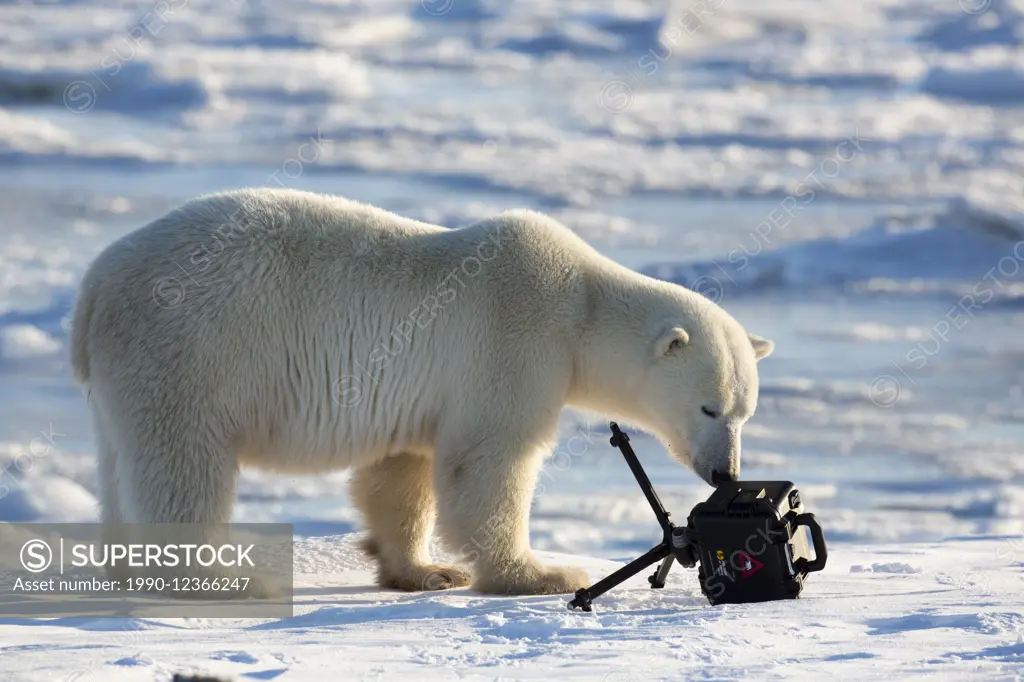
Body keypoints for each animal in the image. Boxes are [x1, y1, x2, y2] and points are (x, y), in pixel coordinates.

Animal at [72, 187, 770, 593]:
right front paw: (538, 573)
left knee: (119, 462)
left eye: (744, 413)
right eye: (708, 407)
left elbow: (401, 472)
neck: (581, 305)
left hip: (126, 377)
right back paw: (221, 577)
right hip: (192, 350)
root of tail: (95, 285)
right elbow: (488, 462)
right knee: (183, 464)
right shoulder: (515, 339)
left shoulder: (422, 393)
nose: (725, 473)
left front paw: (424, 570)